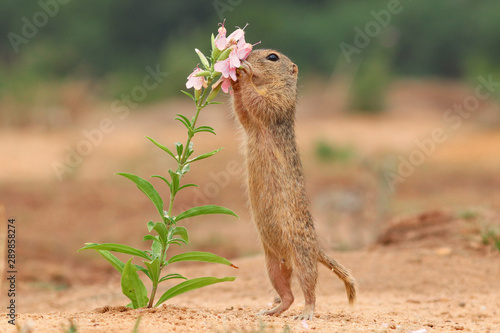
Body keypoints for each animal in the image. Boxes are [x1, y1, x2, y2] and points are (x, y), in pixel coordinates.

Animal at [232, 49, 358, 320]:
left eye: (272, 57)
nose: (245, 55)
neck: (269, 84)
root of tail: (316, 248)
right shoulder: (249, 121)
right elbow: (242, 111)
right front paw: (235, 80)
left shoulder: (280, 102)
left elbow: (260, 104)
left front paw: (244, 74)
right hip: (272, 265)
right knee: (288, 295)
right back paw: (271, 310)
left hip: (301, 257)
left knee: (309, 290)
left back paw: (306, 313)